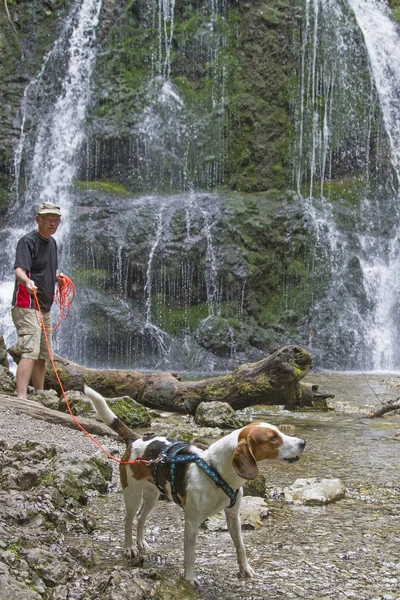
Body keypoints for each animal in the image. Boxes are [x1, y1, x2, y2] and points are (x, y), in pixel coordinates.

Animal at [83, 384, 304, 584]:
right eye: (273, 438)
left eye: (279, 432)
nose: (303, 442)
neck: (216, 470)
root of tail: (136, 440)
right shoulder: (191, 521)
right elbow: (190, 554)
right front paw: (190, 579)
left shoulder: (233, 516)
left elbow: (240, 546)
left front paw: (245, 569)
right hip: (132, 493)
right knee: (129, 519)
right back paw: (130, 547)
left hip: (153, 495)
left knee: (140, 517)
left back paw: (141, 542)